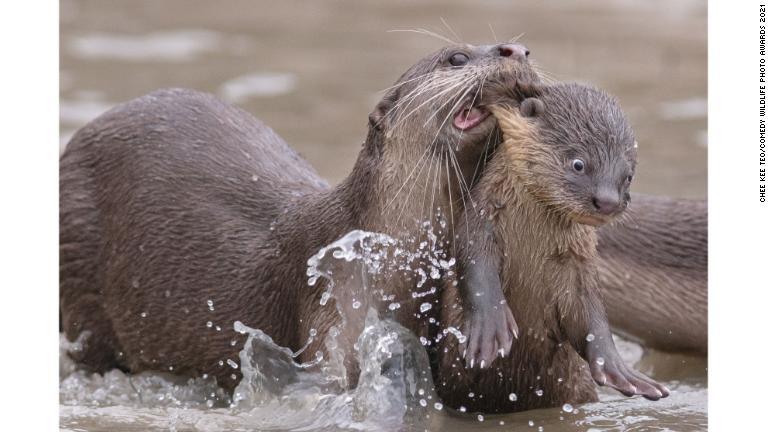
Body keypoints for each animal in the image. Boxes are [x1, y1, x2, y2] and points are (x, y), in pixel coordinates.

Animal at [436, 82, 668, 414]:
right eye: (579, 163)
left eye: (628, 176)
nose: (608, 201)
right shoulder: (481, 222)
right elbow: (476, 268)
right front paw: (490, 329)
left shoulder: (578, 263)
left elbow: (590, 314)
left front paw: (618, 369)